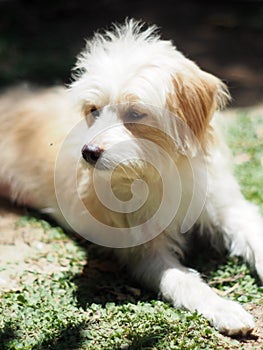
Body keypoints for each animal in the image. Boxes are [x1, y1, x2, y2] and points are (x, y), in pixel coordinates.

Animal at [0, 19, 263, 336]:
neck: (162, 168)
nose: (87, 152)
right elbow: (184, 282)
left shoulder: (228, 208)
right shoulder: (146, 253)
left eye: (135, 113)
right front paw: (223, 309)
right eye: (93, 110)